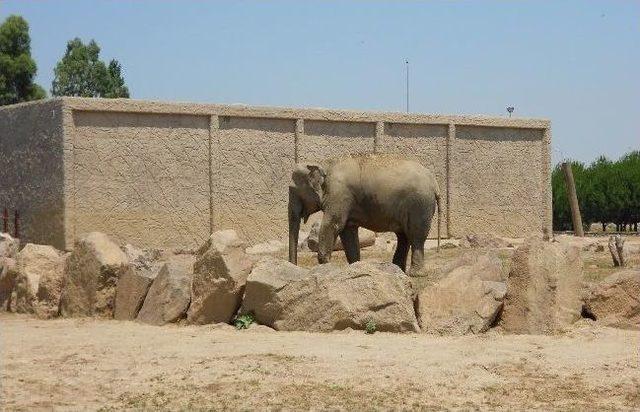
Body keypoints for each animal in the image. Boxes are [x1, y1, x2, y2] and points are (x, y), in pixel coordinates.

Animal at [288, 154, 440, 274]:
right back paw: (398, 269)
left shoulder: (339, 194)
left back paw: (415, 274)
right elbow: (348, 231)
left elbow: (333, 225)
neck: (325, 163)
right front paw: (355, 266)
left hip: (420, 205)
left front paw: (325, 265)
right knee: (403, 236)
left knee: (416, 236)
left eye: (292, 190)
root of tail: (434, 183)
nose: (294, 265)